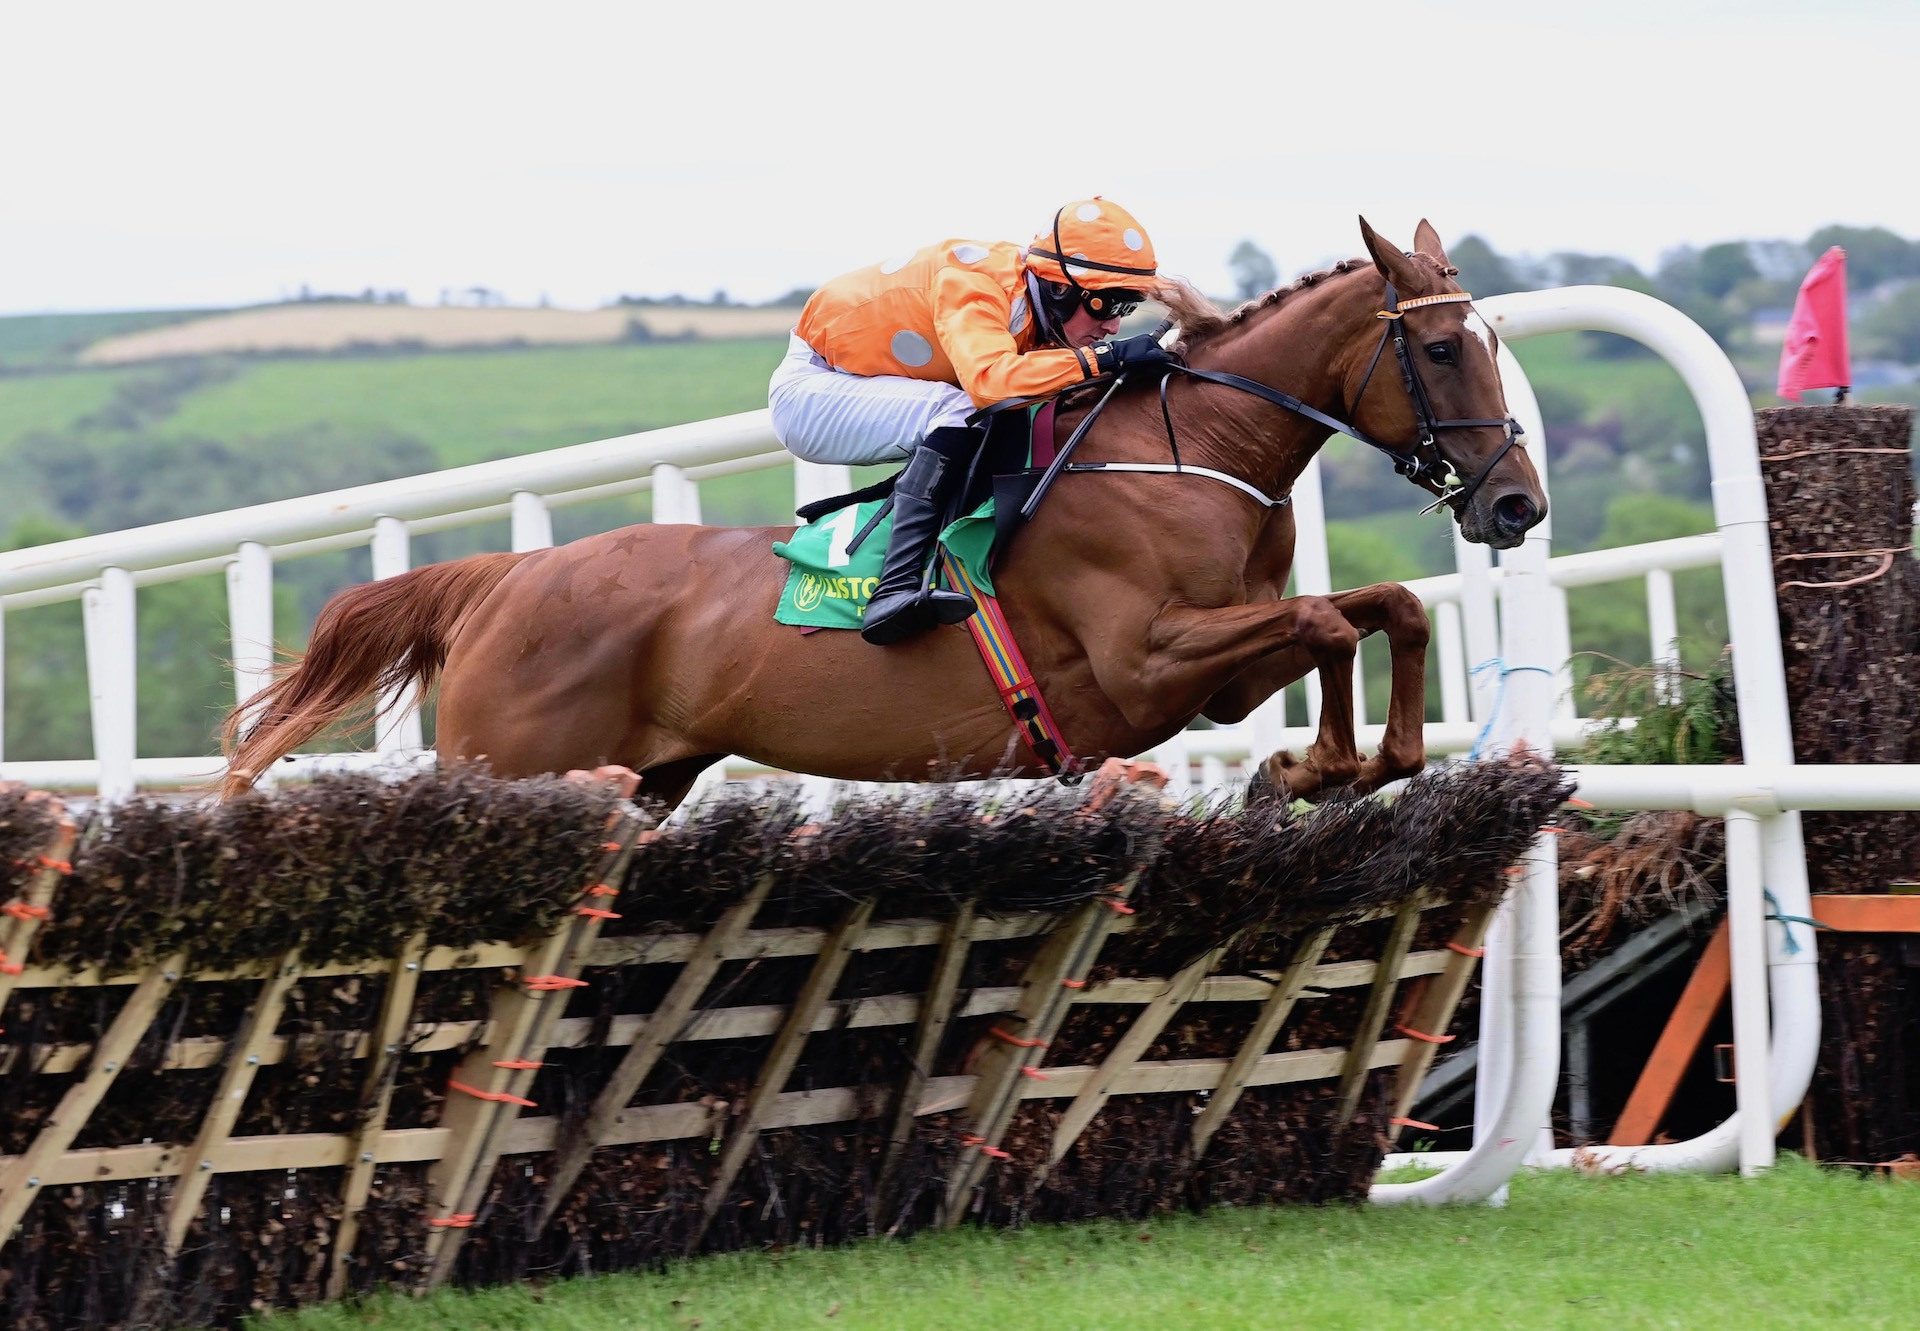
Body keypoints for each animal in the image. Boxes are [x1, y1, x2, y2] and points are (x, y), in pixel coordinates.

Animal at [220, 215, 1543, 810]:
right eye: (1439, 346)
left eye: (1490, 338)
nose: (1517, 502)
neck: (1192, 453)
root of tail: (503, 579)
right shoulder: (1144, 655)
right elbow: (1328, 621)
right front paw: (1324, 762)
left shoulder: (1211, 672)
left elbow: (1381, 607)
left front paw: (1357, 758)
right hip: (517, 765)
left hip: (645, 778)